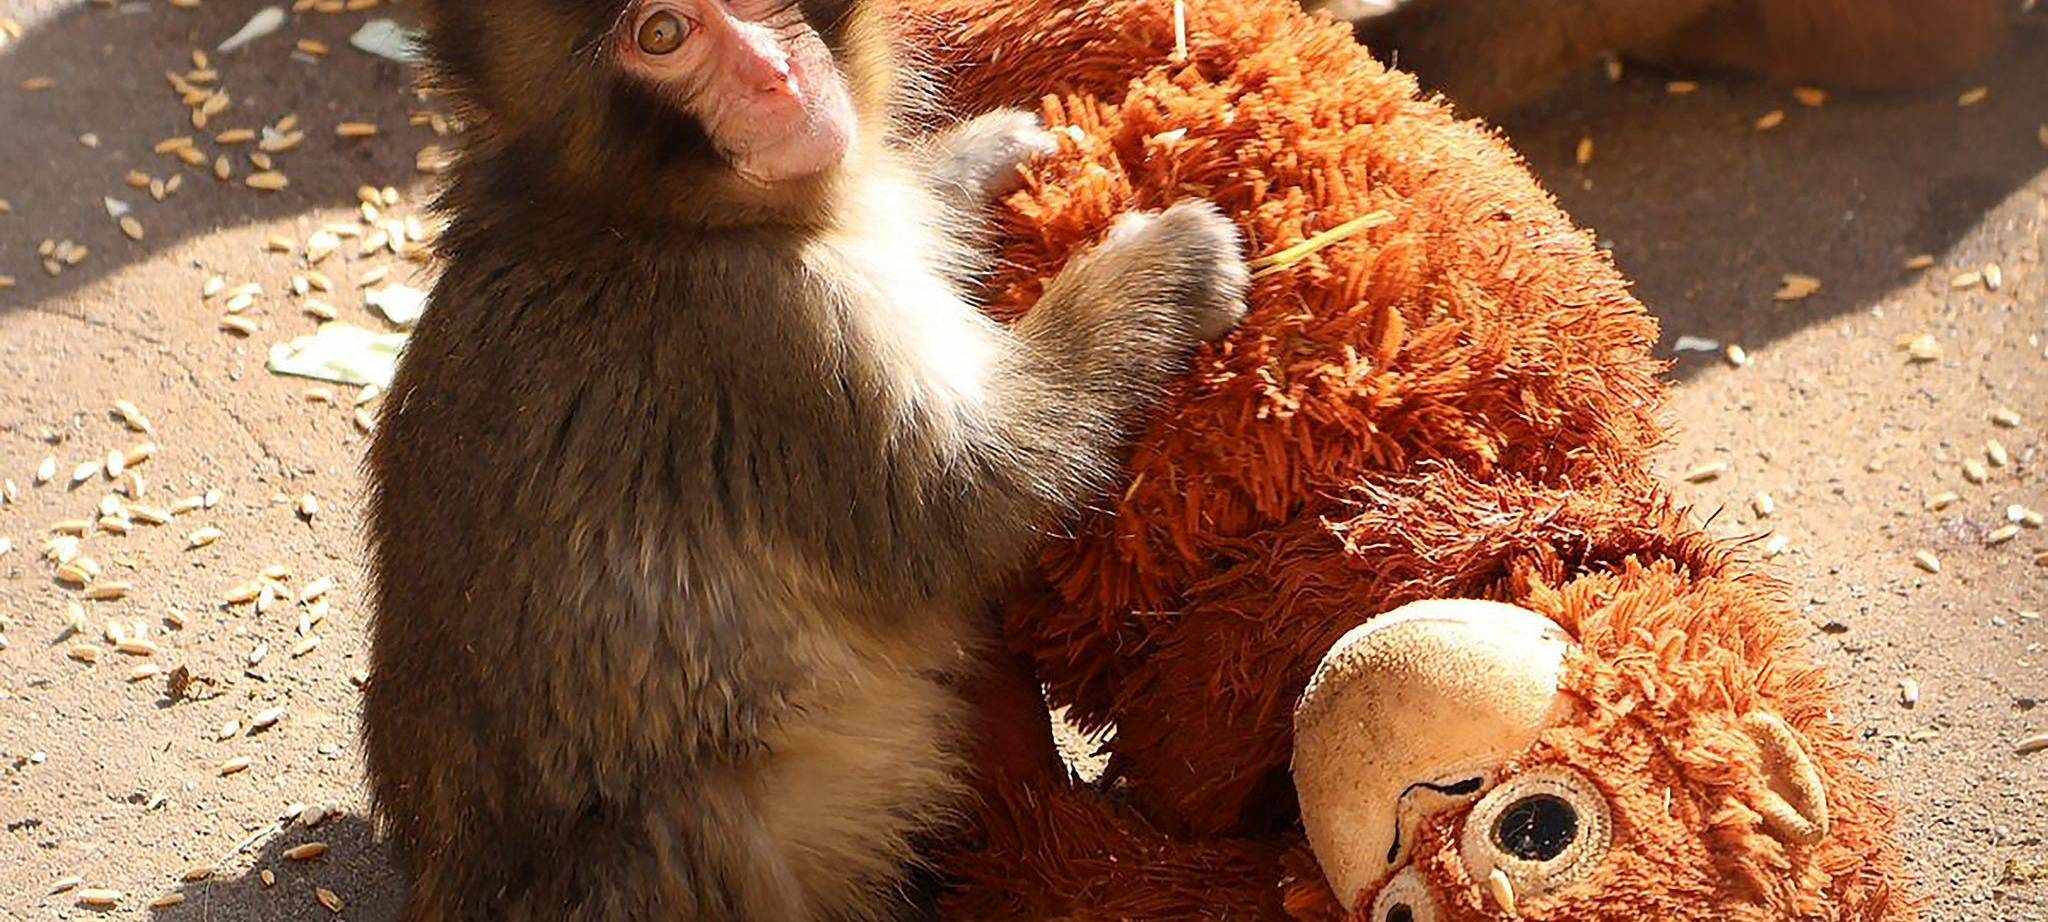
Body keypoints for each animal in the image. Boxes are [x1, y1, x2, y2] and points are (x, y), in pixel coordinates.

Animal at [358, 1, 1250, 920]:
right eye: (663, 35)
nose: (776, 78)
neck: (634, 216)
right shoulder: (765, 330)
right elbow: (959, 505)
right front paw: (1164, 269)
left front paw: (977, 160)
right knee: (690, 819)